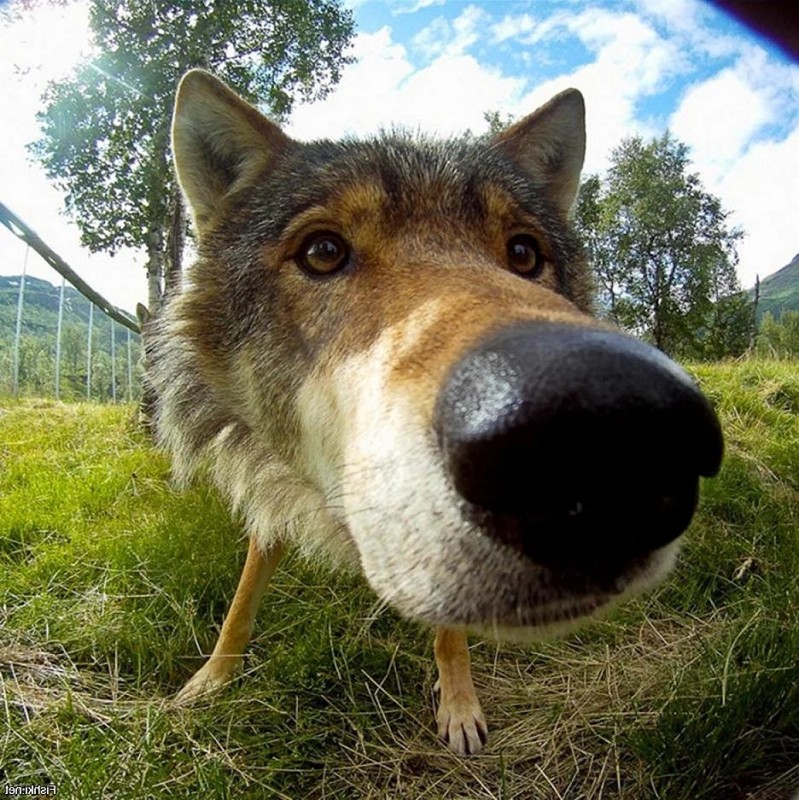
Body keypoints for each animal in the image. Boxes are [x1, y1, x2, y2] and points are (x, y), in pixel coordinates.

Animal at [144, 70, 724, 756]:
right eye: (322, 252)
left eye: (524, 253)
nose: (606, 424)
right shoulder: (272, 483)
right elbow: (244, 591)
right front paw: (212, 678)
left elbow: (450, 635)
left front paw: (459, 704)